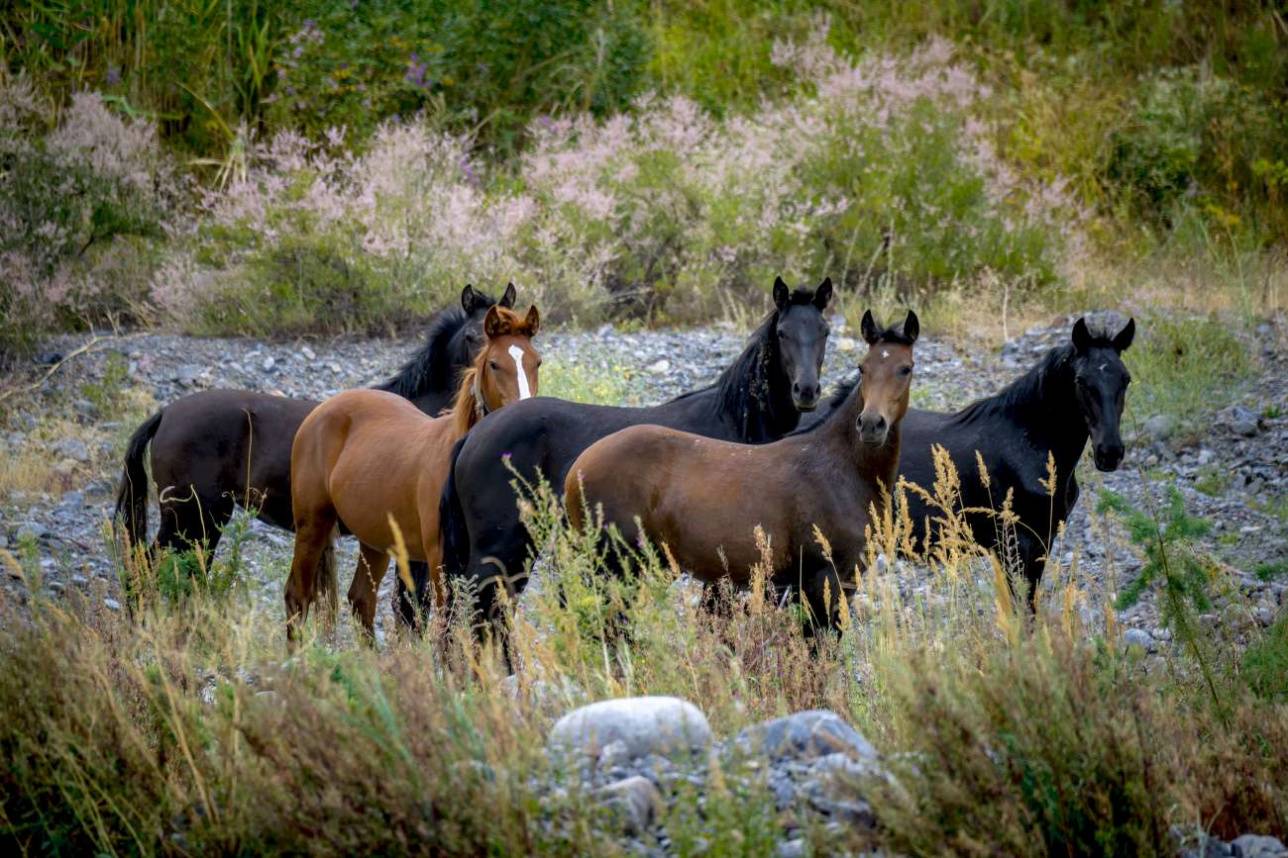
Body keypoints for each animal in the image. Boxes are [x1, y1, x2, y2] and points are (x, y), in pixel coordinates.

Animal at [284, 304, 540, 638]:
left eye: (537, 361)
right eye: (495, 364)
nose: (524, 411)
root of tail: (321, 411)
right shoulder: (440, 563)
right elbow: (445, 626)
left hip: (375, 540)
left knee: (361, 601)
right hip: (312, 525)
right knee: (297, 596)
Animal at [425, 276, 834, 631]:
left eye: (825, 331)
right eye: (782, 333)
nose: (807, 391)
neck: (734, 422)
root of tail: (473, 436)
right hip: (498, 550)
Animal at [569, 309, 922, 628]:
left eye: (905, 368)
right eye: (862, 367)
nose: (871, 425)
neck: (839, 469)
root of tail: (578, 467)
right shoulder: (824, 580)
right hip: (615, 568)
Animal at [798, 313, 1133, 600]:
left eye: (1126, 379)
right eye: (1080, 381)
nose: (1110, 452)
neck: (1028, 443)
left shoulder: (1040, 544)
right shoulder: (1015, 546)